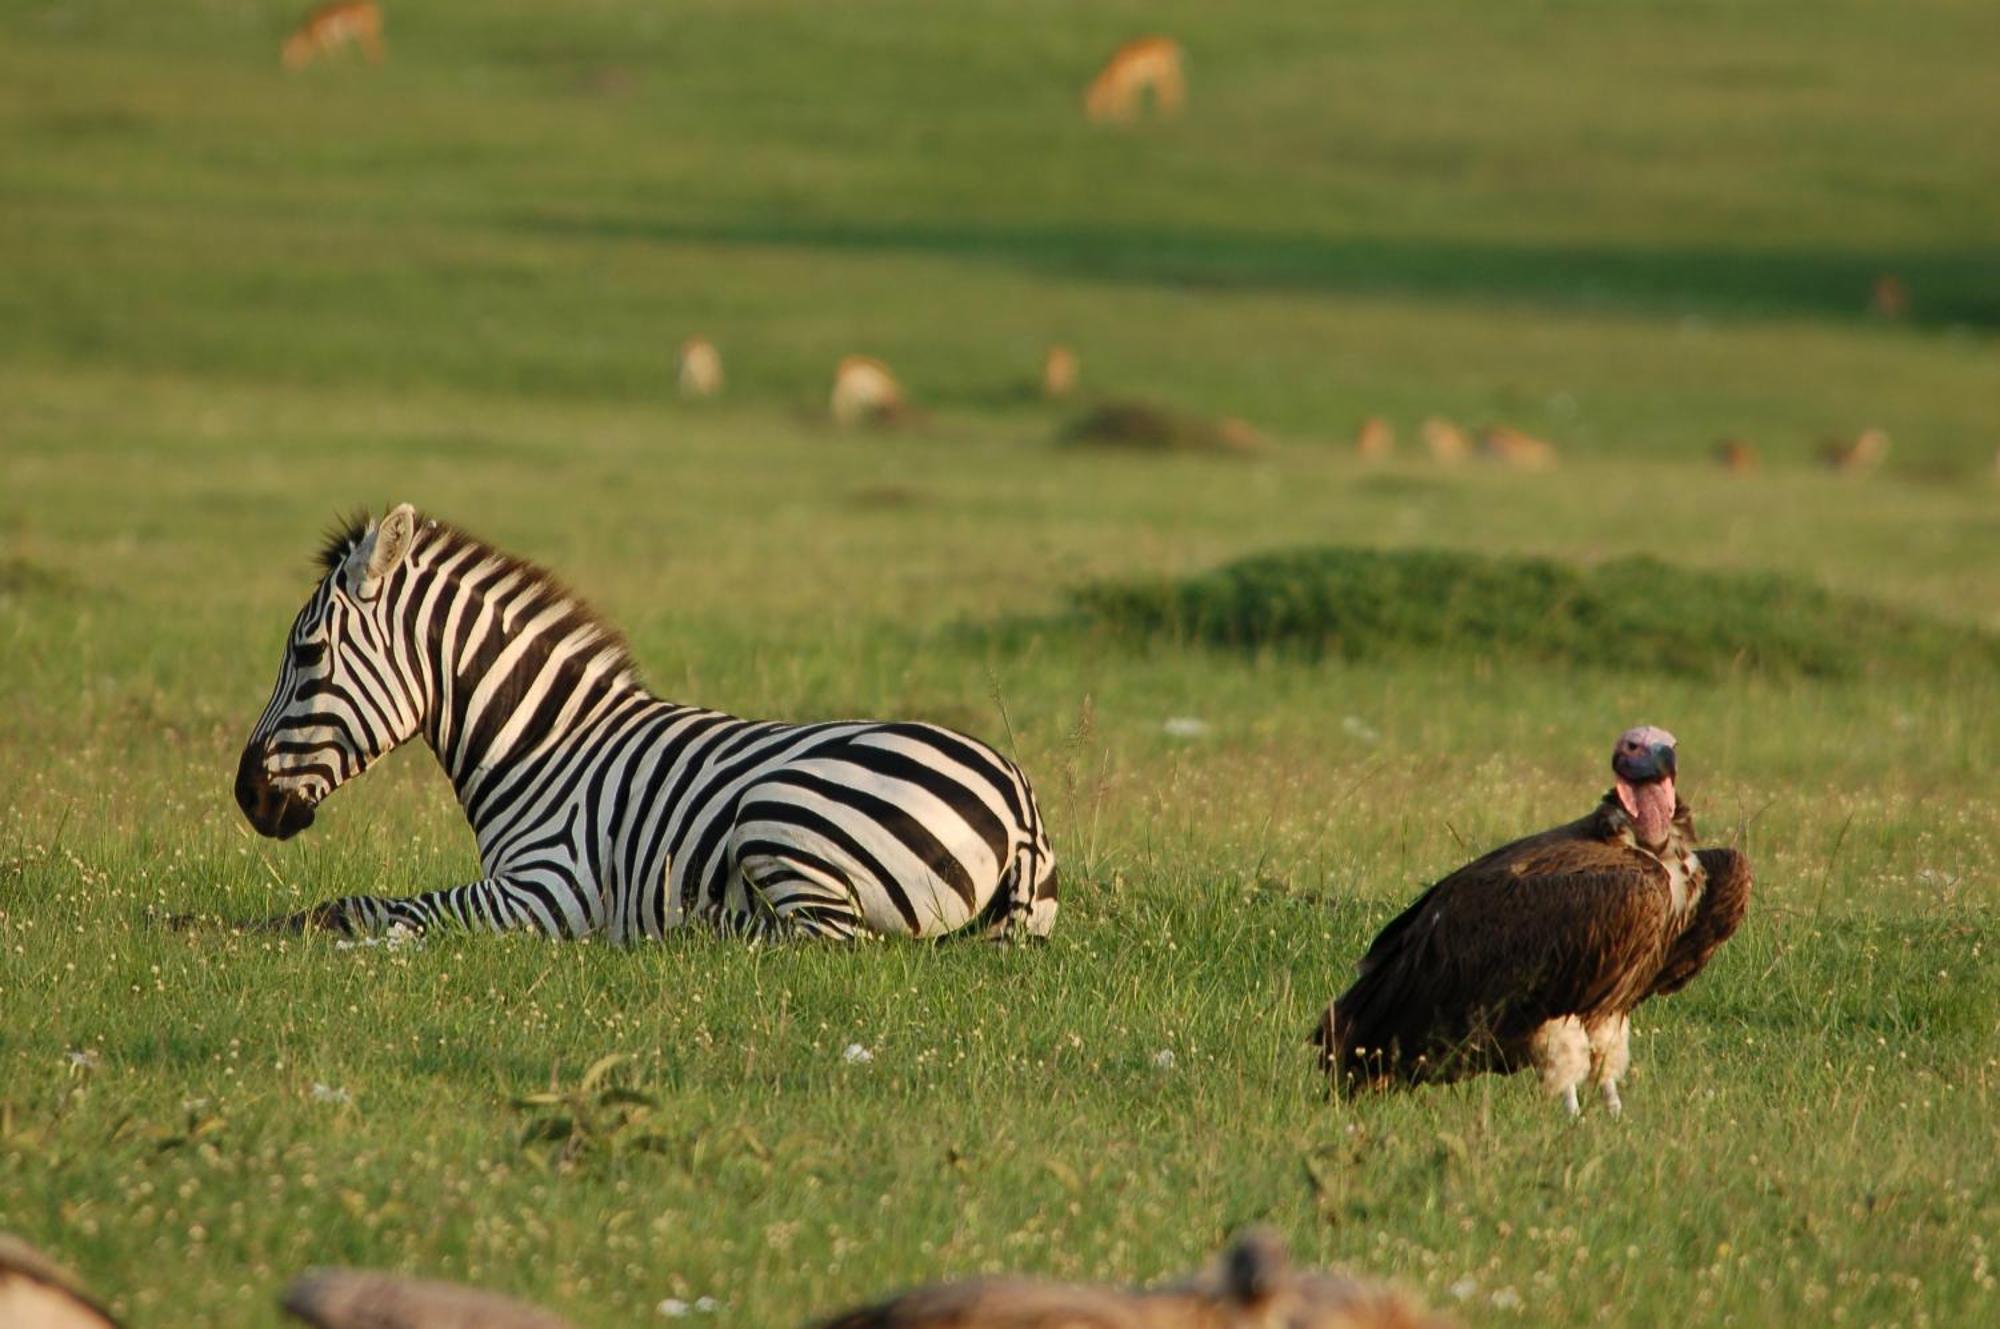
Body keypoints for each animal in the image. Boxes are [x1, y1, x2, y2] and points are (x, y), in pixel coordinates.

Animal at [227, 500, 1056, 944]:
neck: (541, 747)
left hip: (779, 815)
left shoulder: (549, 887)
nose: (246, 795)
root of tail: (1015, 800)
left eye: (307, 653)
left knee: (822, 937)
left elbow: (364, 903)